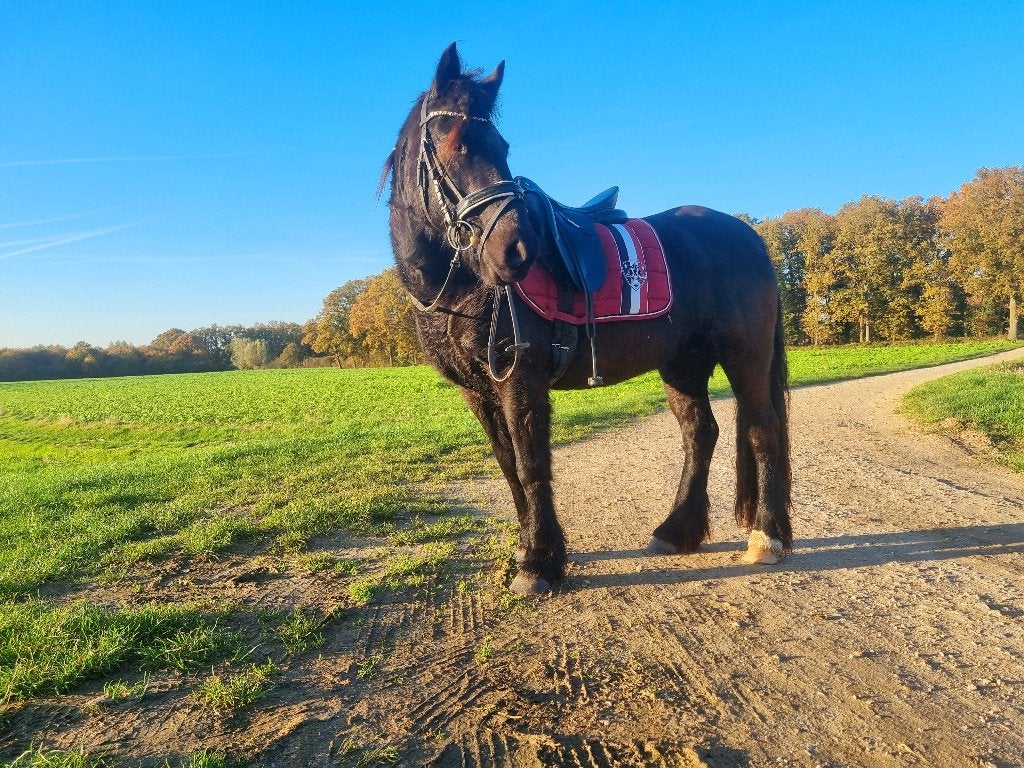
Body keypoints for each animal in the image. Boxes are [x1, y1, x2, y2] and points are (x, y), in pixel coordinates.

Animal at [381, 42, 792, 594]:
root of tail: (750, 237)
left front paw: (537, 562)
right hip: (683, 364)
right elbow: (508, 466)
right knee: (701, 433)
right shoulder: (476, 391)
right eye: (460, 143)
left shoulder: (521, 379)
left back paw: (767, 538)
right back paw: (676, 531)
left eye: (502, 146)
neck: (463, 286)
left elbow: (531, 464)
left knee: (762, 430)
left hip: (745, 355)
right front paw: (532, 549)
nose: (517, 251)